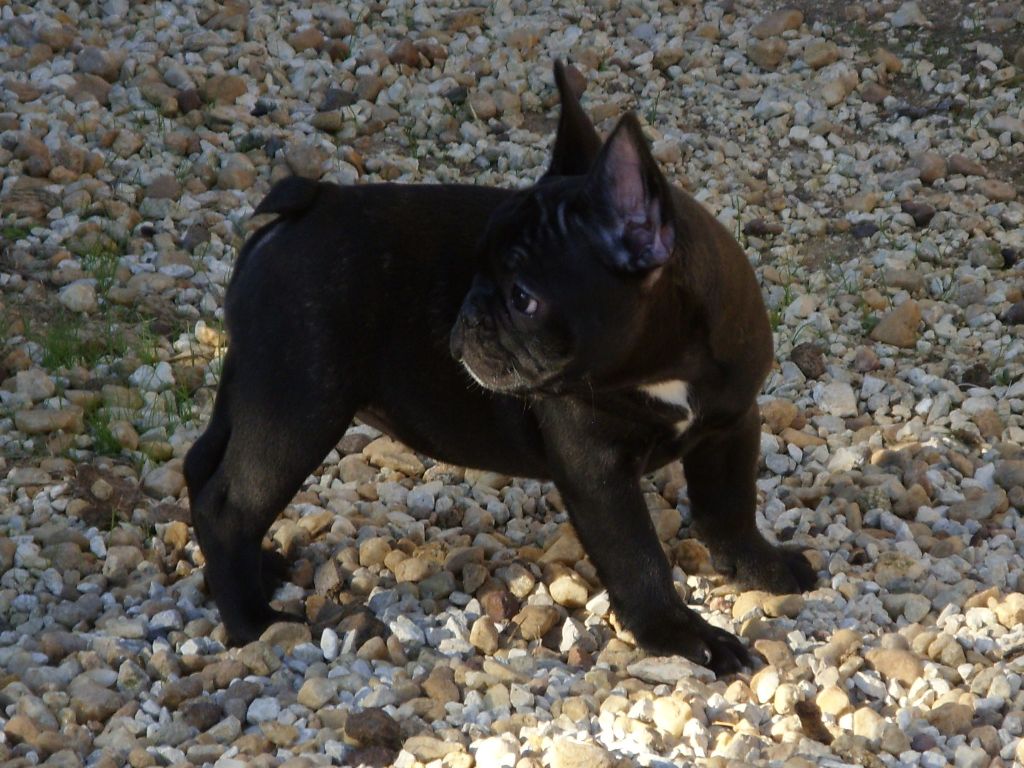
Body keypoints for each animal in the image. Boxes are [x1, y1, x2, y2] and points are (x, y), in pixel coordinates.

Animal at [184, 62, 816, 674]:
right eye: (479, 272)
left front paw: (762, 570)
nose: (466, 316)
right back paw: (254, 624)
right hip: (296, 407)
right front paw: (684, 636)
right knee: (230, 505)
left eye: (522, 297)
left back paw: (252, 572)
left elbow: (729, 508)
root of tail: (305, 204)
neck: (665, 362)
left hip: (254, 383)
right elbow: (637, 558)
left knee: (200, 464)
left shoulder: (732, 420)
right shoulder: (597, 468)